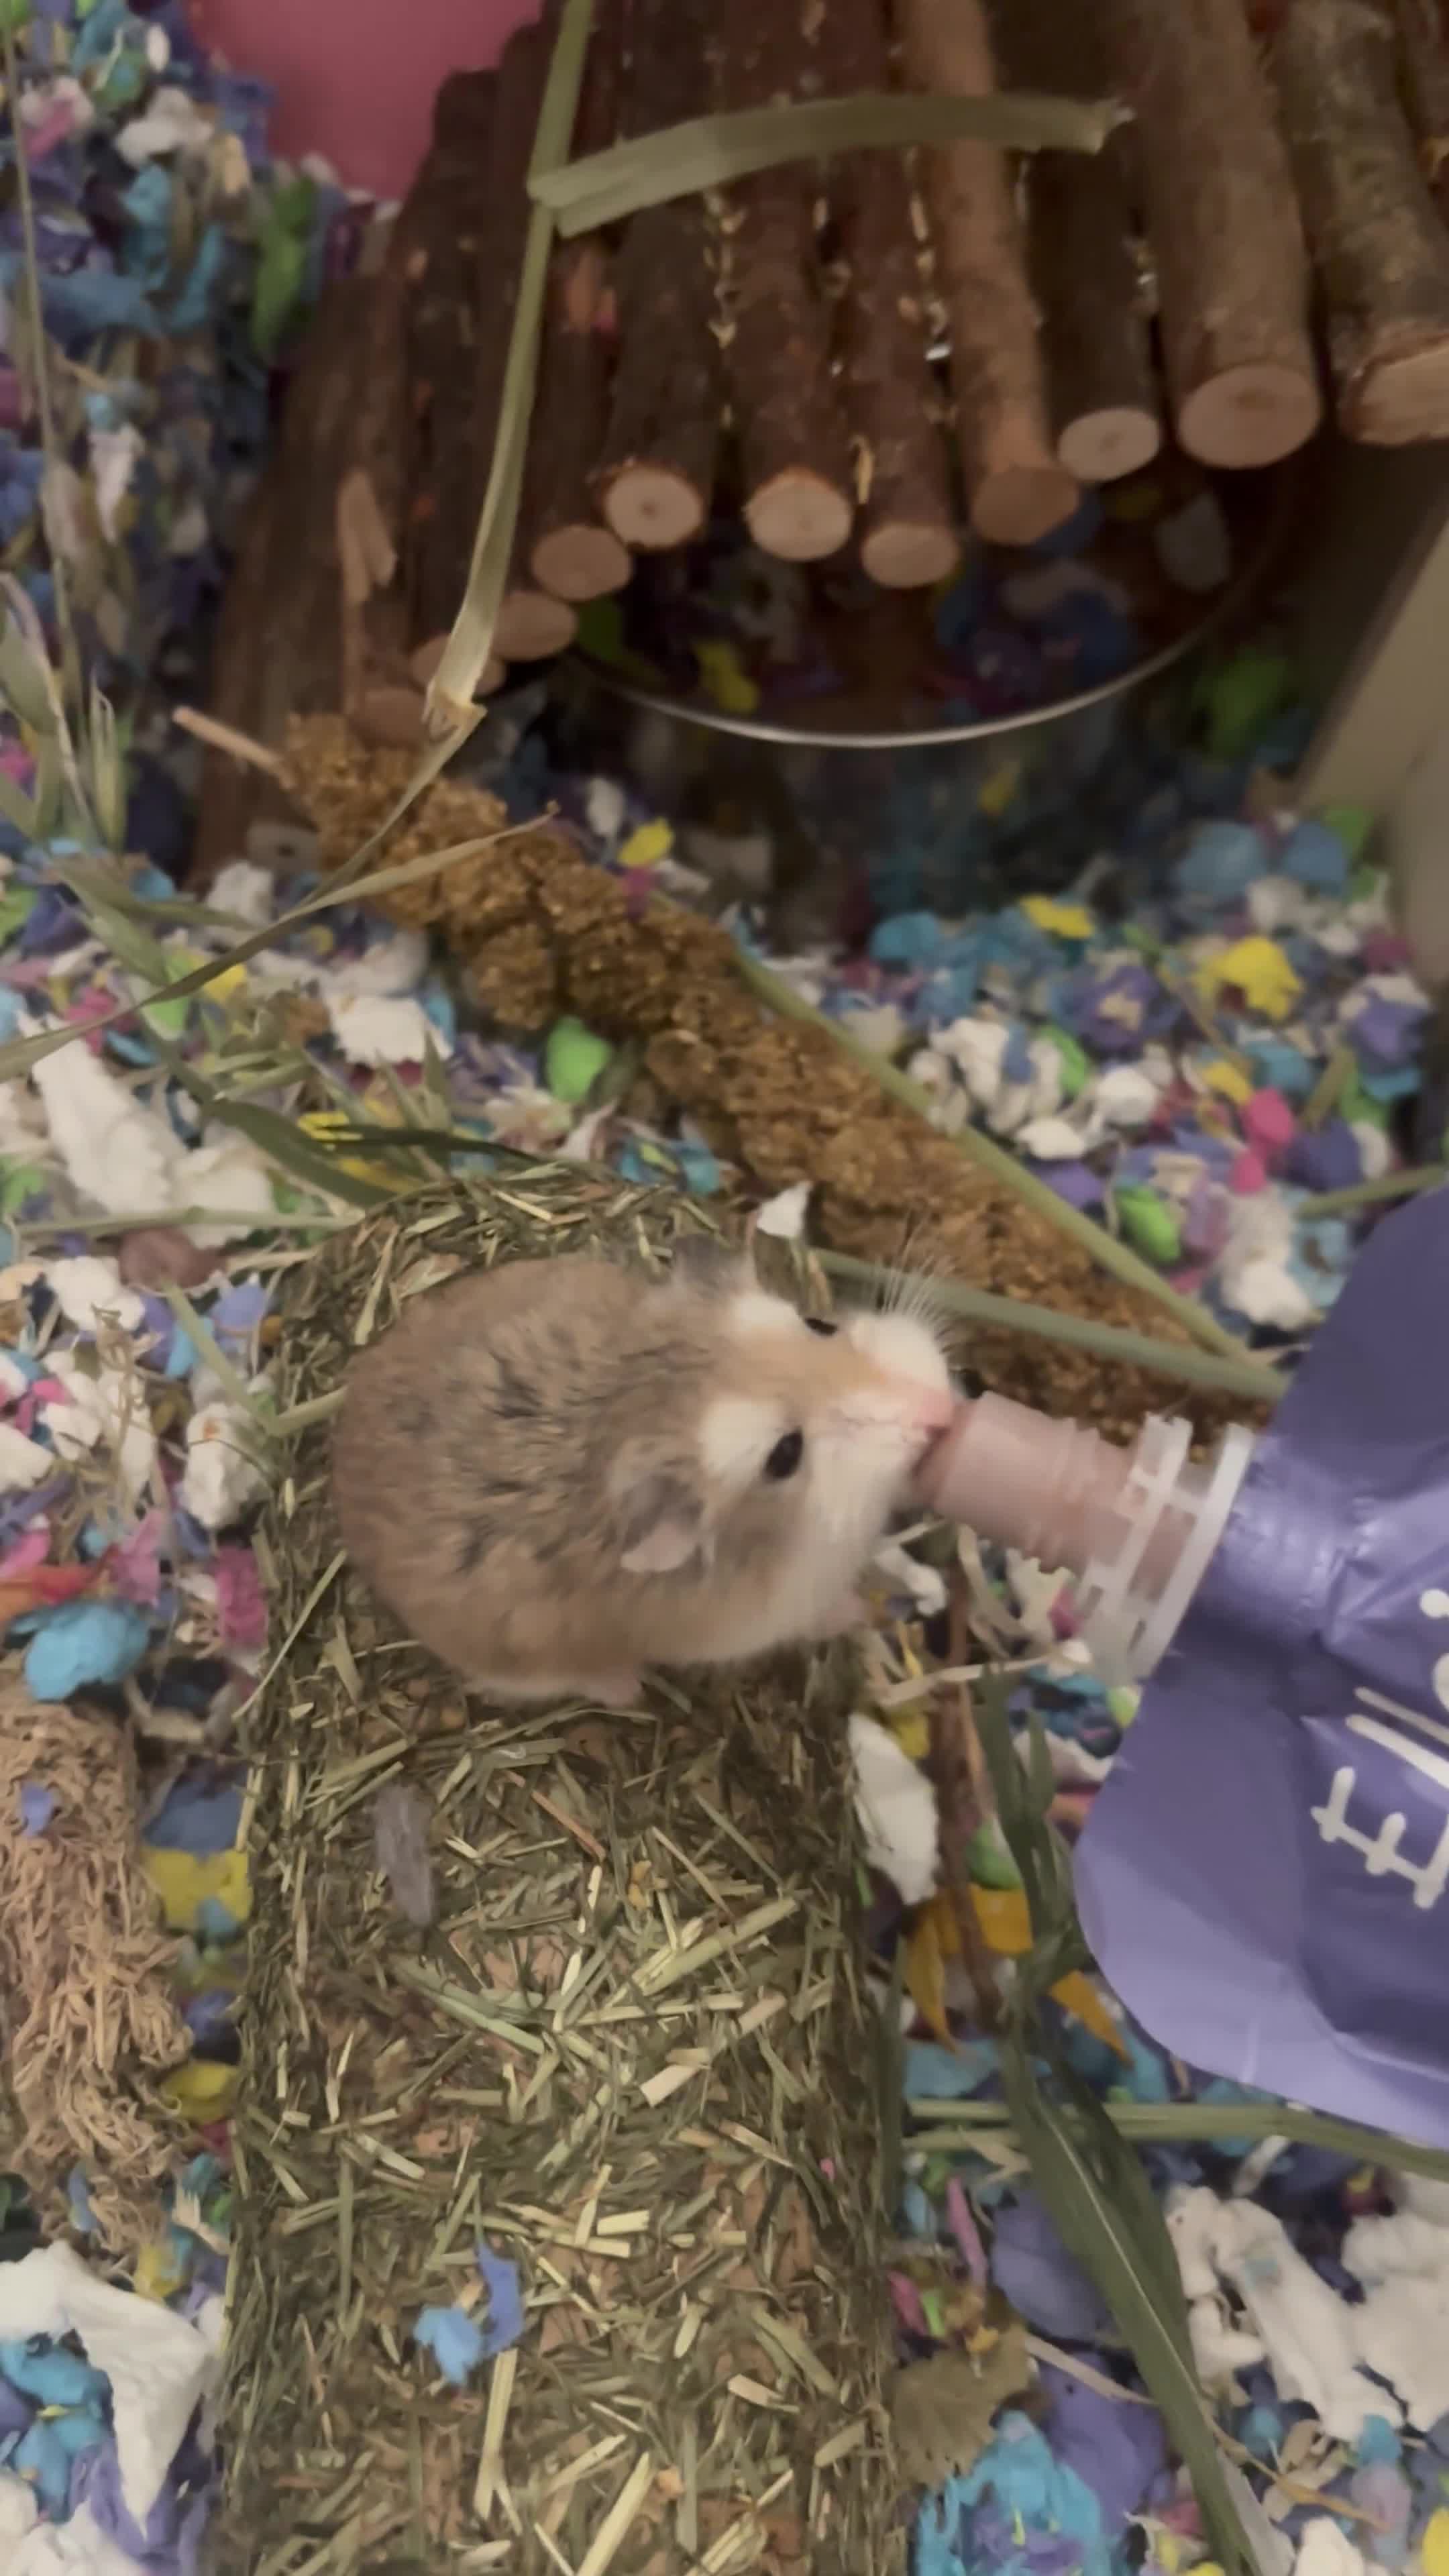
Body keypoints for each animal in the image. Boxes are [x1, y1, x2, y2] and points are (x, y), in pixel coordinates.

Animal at [331, 1236, 955, 1706]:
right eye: (784, 1454)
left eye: (819, 1323)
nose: (943, 1410)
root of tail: (340, 1443)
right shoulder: (767, 1618)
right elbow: (821, 1615)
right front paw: (859, 1612)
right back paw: (625, 1688)